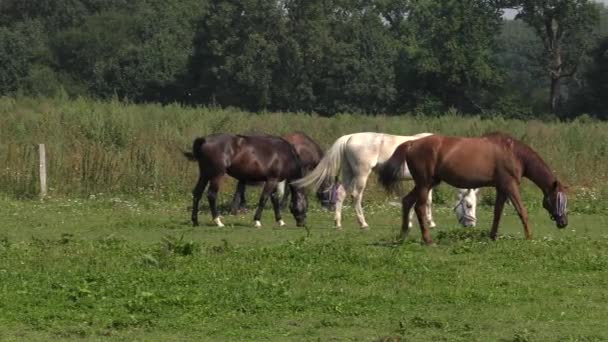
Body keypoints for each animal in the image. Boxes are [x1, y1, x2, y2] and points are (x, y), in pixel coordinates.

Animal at [292, 132, 478, 228]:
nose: (472, 224)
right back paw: (363, 223)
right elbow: (428, 201)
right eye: (469, 205)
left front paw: (411, 222)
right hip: (361, 174)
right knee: (356, 196)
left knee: (340, 194)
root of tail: (349, 137)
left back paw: (338, 223)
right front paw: (430, 222)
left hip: (347, 172)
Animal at [378, 132, 568, 246]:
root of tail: (411, 143)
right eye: (557, 199)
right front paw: (529, 237)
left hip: (426, 183)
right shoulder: (510, 186)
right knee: (419, 207)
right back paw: (428, 240)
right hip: (425, 184)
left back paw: (403, 235)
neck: (514, 153)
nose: (563, 222)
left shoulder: (501, 188)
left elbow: (497, 213)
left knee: (407, 201)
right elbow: (522, 211)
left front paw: (493, 236)